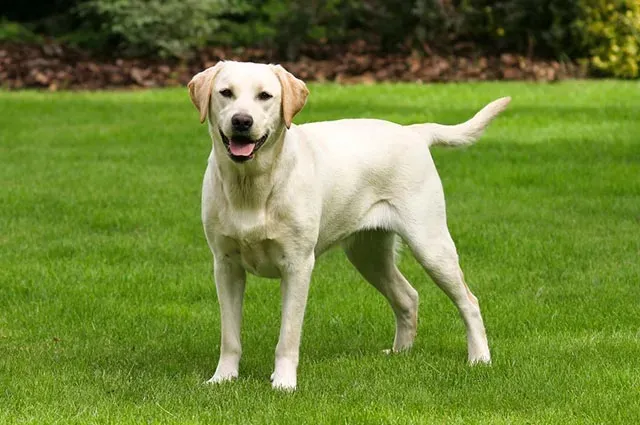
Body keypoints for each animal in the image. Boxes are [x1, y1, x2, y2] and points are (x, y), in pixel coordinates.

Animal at [189, 61, 510, 390]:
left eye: (264, 96)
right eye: (226, 93)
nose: (242, 121)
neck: (251, 185)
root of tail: (413, 132)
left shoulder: (297, 265)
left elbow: (288, 336)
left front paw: (284, 383)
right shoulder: (226, 266)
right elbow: (230, 336)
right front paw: (222, 378)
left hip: (430, 245)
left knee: (469, 301)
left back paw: (479, 358)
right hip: (368, 254)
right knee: (408, 297)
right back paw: (400, 353)